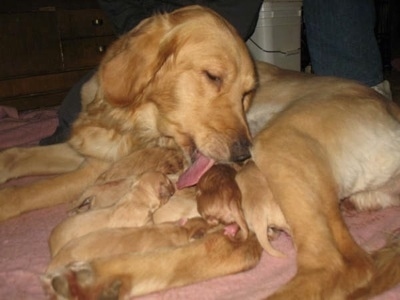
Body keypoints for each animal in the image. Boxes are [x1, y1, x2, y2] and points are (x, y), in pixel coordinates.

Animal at [0, 4, 400, 300]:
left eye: (247, 93)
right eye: (213, 76)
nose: (241, 156)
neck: (127, 117)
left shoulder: (93, 170)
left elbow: (25, 192)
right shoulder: (86, 152)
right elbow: (15, 155)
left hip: (281, 143)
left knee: (332, 264)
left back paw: (96, 278)